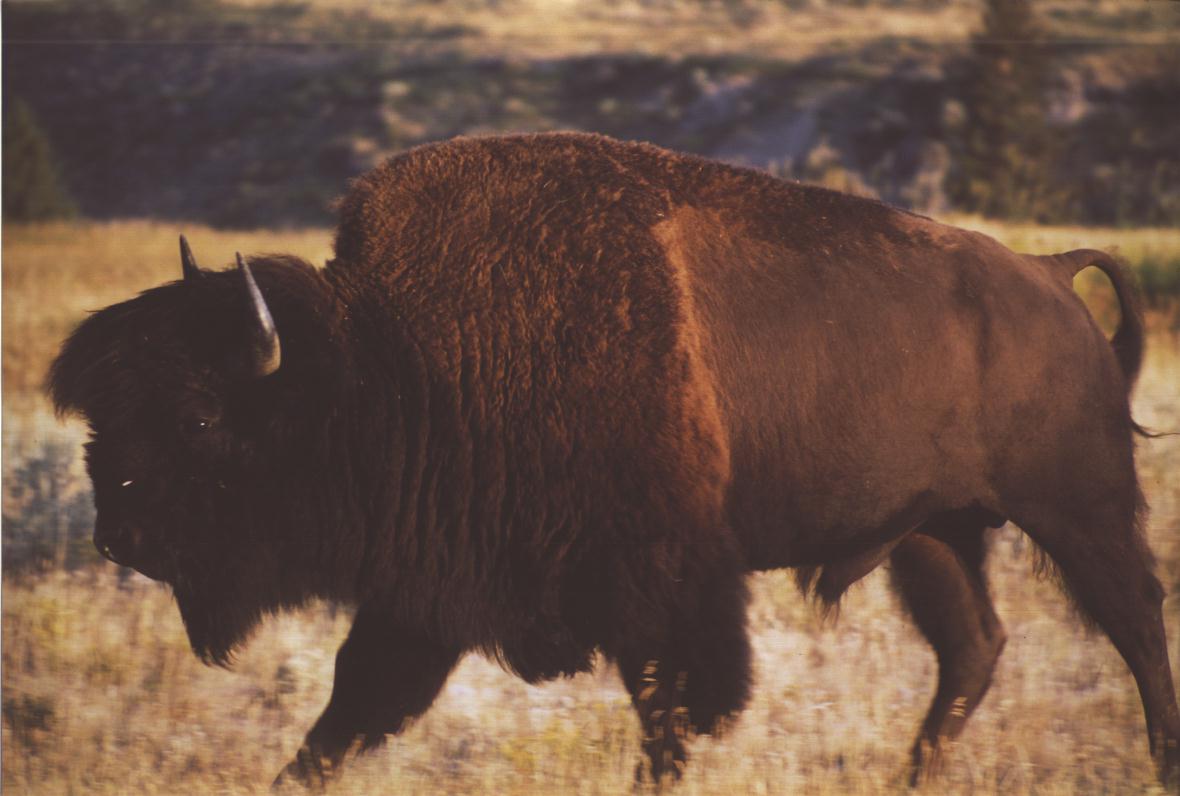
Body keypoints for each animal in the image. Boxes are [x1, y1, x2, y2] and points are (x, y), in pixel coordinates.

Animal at [49, 132, 1179, 789]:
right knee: (971, 649)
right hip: (933, 534)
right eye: (105, 416)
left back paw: (1160, 760)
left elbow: (667, 715)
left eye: (201, 416)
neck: (403, 361)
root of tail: (1046, 274)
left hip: (1076, 509)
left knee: (1135, 624)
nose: (119, 534)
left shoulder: (659, 590)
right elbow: (347, 711)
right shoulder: (429, 587)